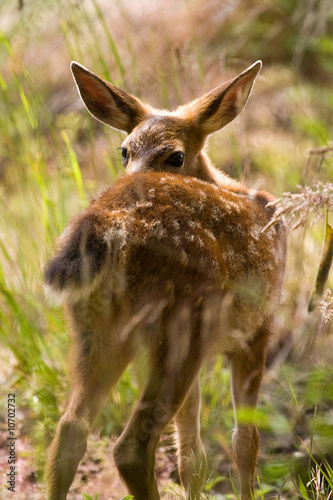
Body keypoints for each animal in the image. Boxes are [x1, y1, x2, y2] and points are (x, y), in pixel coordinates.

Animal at [44, 62, 286, 500]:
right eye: (125, 151)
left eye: (175, 156)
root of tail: (104, 229)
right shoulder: (258, 329)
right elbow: (245, 440)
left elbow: (193, 454)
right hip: (180, 325)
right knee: (131, 447)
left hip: (97, 329)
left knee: (70, 430)